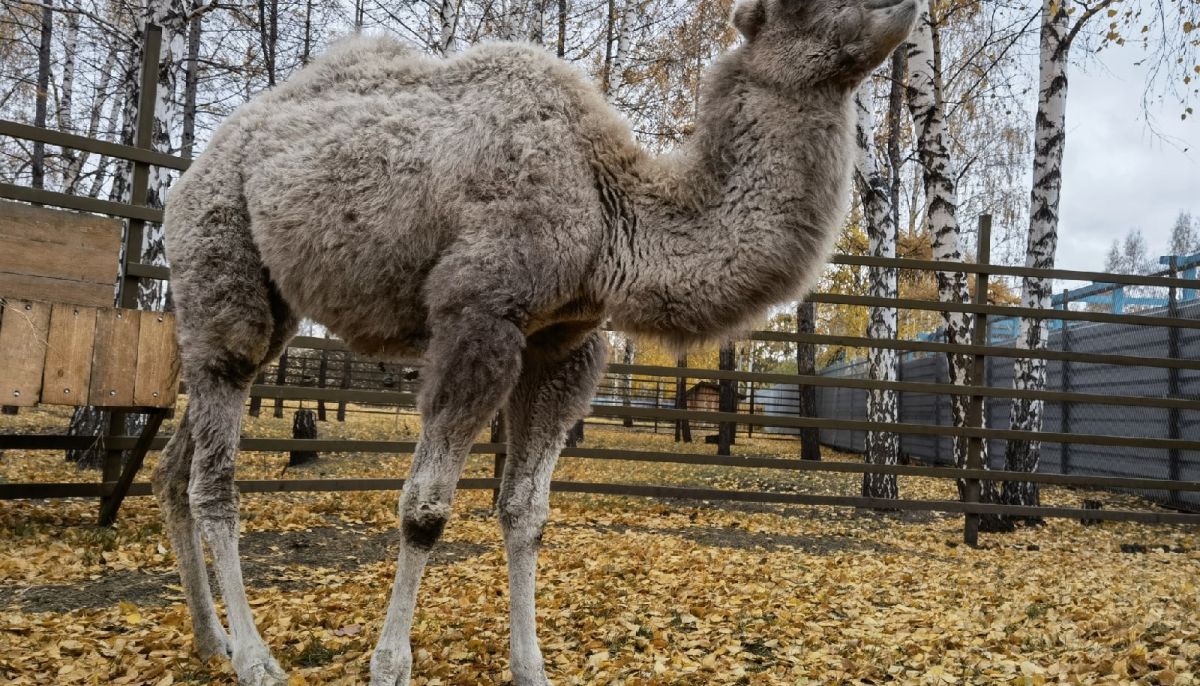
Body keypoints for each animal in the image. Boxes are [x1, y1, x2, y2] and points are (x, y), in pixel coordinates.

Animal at [152, 0, 916, 681]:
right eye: (801, 5)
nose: (902, 9)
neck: (609, 210)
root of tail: (188, 179)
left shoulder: (564, 343)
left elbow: (526, 513)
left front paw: (531, 668)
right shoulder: (480, 314)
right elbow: (424, 511)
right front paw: (390, 666)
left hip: (266, 312)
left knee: (176, 465)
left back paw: (212, 642)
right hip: (219, 268)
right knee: (214, 473)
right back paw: (255, 661)